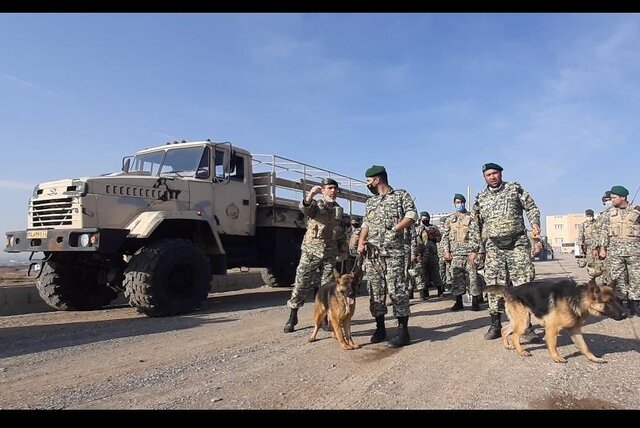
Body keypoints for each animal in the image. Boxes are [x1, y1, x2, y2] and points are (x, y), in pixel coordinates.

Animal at [488, 280, 628, 362]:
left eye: (617, 300)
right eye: (608, 302)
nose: (626, 314)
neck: (576, 299)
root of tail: (511, 289)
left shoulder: (575, 330)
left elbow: (585, 346)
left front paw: (593, 358)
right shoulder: (552, 327)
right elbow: (553, 344)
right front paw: (557, 358)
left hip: (520, 320)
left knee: (504, 330)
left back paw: (507, 345)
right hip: (524, 322)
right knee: (515, 336)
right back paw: (521, 351)